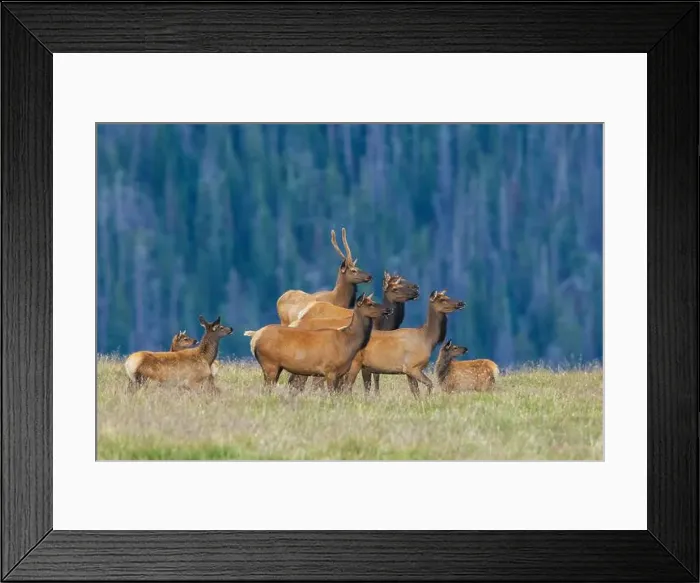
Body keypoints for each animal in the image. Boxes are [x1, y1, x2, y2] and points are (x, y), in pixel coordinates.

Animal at [247, 294, 387, 392]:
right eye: (370, 304)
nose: (388, 309)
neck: (348, 343)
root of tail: (254, 340)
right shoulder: (330, 370)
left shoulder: (340, 372)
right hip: (269, 363)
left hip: (276, 367)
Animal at [286, 272, 420, 391]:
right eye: (395, 288)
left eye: (404, 280)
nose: (416, 288)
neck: (383, 326)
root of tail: (295, 323)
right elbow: (368, 382)